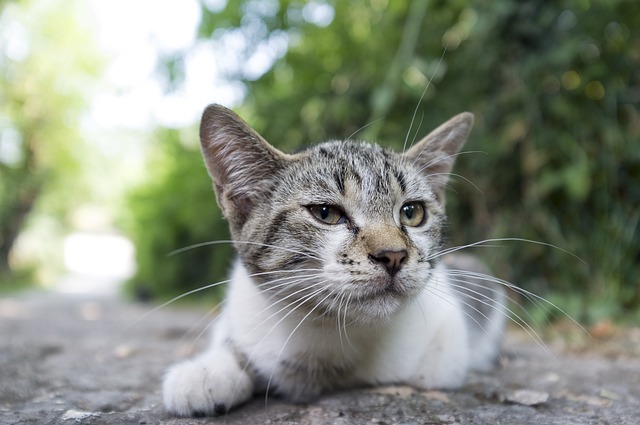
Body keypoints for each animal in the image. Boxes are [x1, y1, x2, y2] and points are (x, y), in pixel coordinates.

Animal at [162, 104, 508, 416]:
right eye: (326, 213)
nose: (393, 255)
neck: (329, 330)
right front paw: (208, 371)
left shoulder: (446, 344)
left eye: (412, 212)